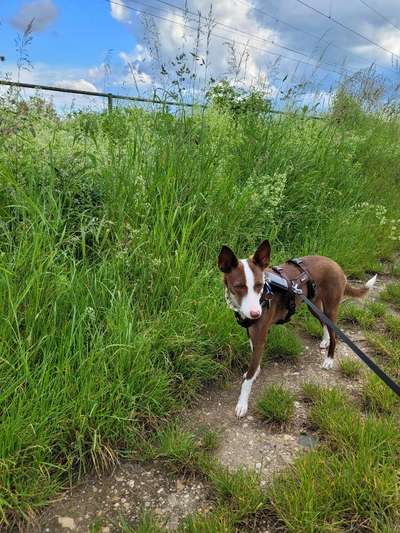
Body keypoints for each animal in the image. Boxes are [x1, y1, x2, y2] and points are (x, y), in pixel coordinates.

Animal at [217, 239, 376, 418]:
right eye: (238, 286)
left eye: (259, 285)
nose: (256, 313)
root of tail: (336, 264)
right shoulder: (252, 334)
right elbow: (254, 361)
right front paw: (256, 370)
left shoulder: (260, 337)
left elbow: (248, 379)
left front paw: (242, 403)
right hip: (314, 306)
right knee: (325, 325)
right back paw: (325, 340)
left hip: (330, 307)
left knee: (335, 333)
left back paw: (329, 359)